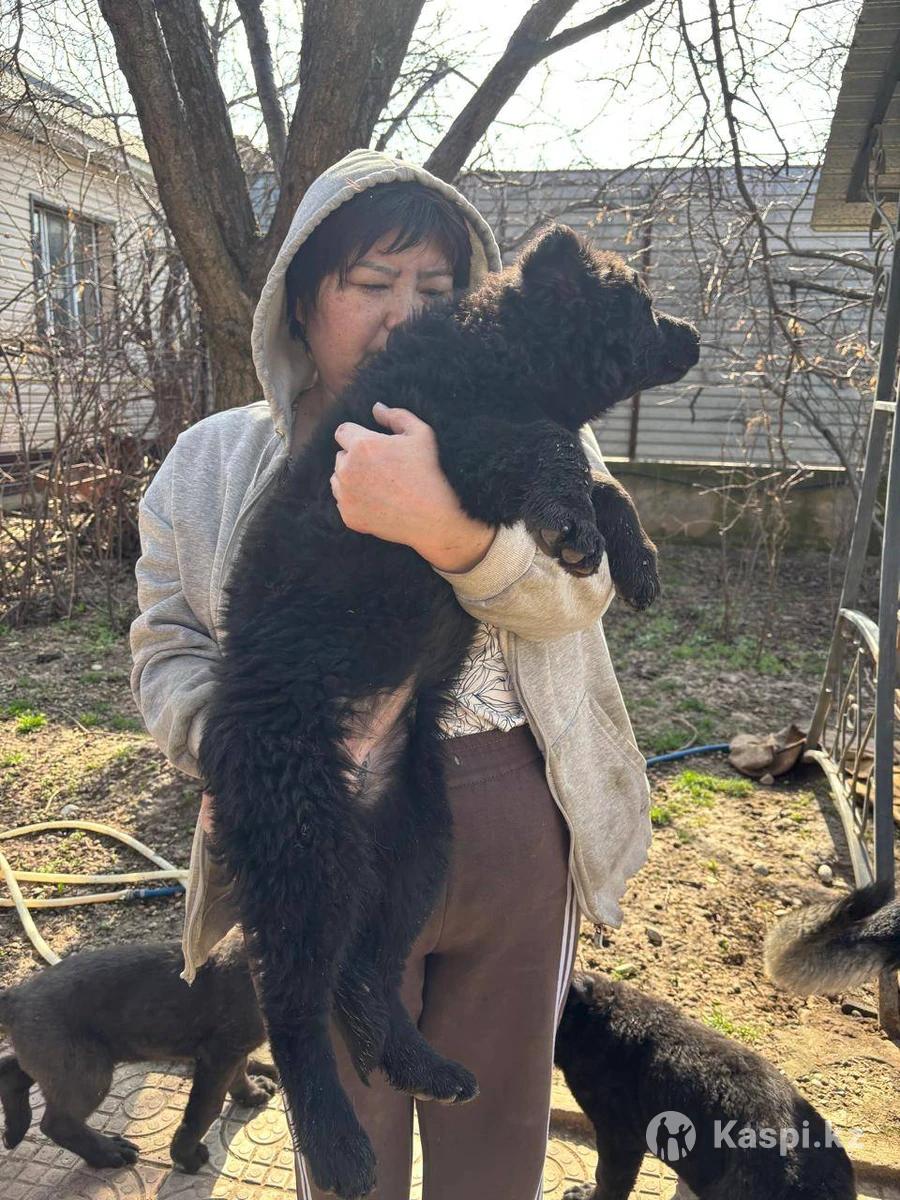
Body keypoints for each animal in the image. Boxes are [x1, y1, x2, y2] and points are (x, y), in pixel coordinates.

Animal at [0, 928, 276, 1172]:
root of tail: (16, 996)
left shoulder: (233, 1050)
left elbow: (238, 1075)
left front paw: (252, 1093)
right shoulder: (218, 1055)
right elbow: (204, 1109)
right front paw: (184, 1155)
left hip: (62, 1060)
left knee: (13, 1069)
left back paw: (15, 1126)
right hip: (86, 1071)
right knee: (57, 1123)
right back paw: (108, 1153)